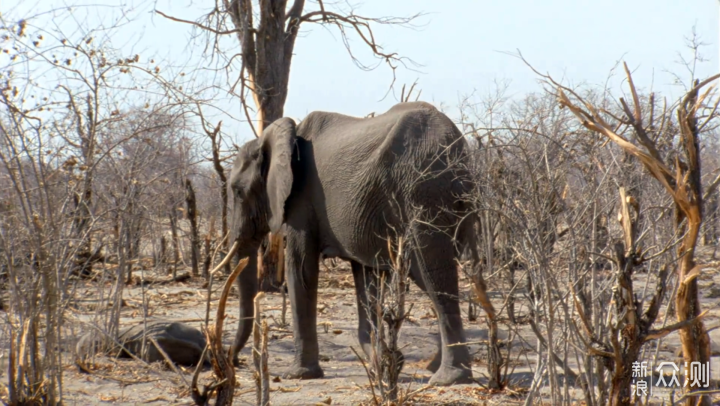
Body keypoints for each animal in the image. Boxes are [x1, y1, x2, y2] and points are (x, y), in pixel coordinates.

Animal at [229, 100, 490, 386]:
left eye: (237, 192)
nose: (234, 361)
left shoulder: (301, 200)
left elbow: (300, 270)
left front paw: (298, 375)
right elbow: (366, 276)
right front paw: (385, 361)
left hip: (424, 192)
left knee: (433, 271)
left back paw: (448, 378)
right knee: (429, 272)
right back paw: (433, 367)